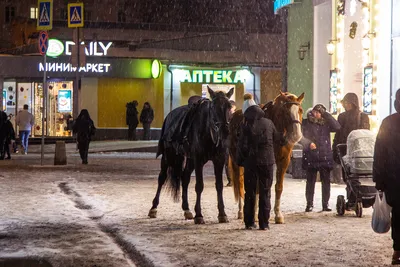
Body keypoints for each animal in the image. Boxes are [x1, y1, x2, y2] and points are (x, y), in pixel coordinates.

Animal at [148, 86, 233, 224]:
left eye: (229, 106)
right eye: (213, 106)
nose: (224, 130)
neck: (209, 133)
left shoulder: (219, 160)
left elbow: (219, 186)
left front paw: (222, 214)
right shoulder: (198, 160)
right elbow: (199, 186)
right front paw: (199, 215)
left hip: (189, 159)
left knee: (185, 177)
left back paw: (186, 209)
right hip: (167, 156)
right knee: (162, 178)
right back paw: (153, 208)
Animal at [228, 92, 304, 224]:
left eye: (300, 110)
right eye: (286, 112)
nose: (296, 134)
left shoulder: (283, 160)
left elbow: (278, 187)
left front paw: (278, 214)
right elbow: (258, 187)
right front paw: (255, 214)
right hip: (236, 161)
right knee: (240, 182)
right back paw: (241, 211)